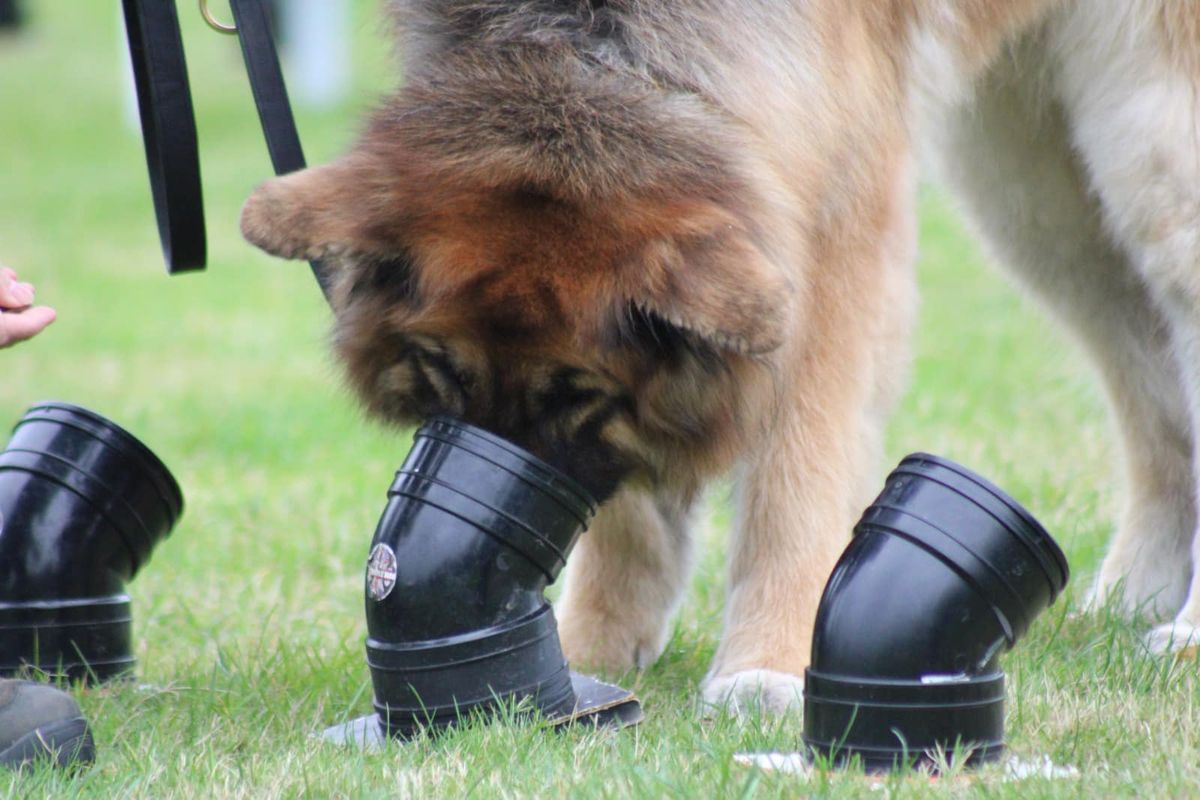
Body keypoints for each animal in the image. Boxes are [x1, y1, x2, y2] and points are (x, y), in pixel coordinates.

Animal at [241, 1, 1200, 714]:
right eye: (442, 376)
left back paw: (1185, 630)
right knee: (1152, 391)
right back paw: (1137, 593)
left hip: (1149, 146)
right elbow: (635, 501)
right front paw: (590, 648)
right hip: (1038, 194)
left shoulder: (824, 216)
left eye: (577, 396)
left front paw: (767, 661)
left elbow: (796, 470)